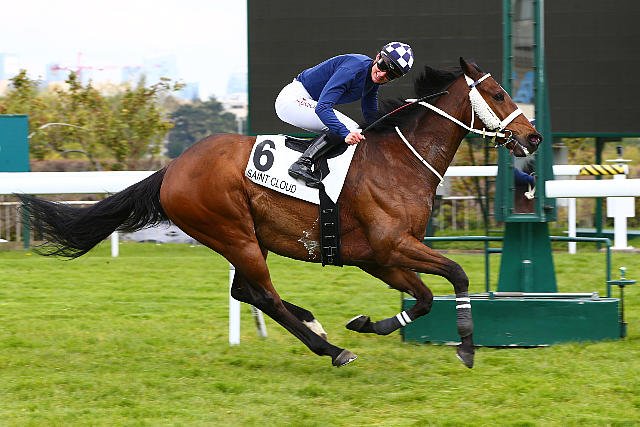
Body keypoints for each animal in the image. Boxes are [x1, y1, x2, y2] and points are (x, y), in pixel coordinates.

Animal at [18, 57, 541, 369]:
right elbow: (457, 274)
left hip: (246, 237)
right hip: (234, 233)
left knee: (246, 291)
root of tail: (172, 169)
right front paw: (468, 346)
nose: (533, 137)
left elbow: (427, 296)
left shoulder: (379, 255)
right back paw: (331, 349)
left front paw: (369, 323)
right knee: (263, 295)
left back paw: (316, 324)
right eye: (498, 94)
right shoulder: (393, 245)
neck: (399, 161)